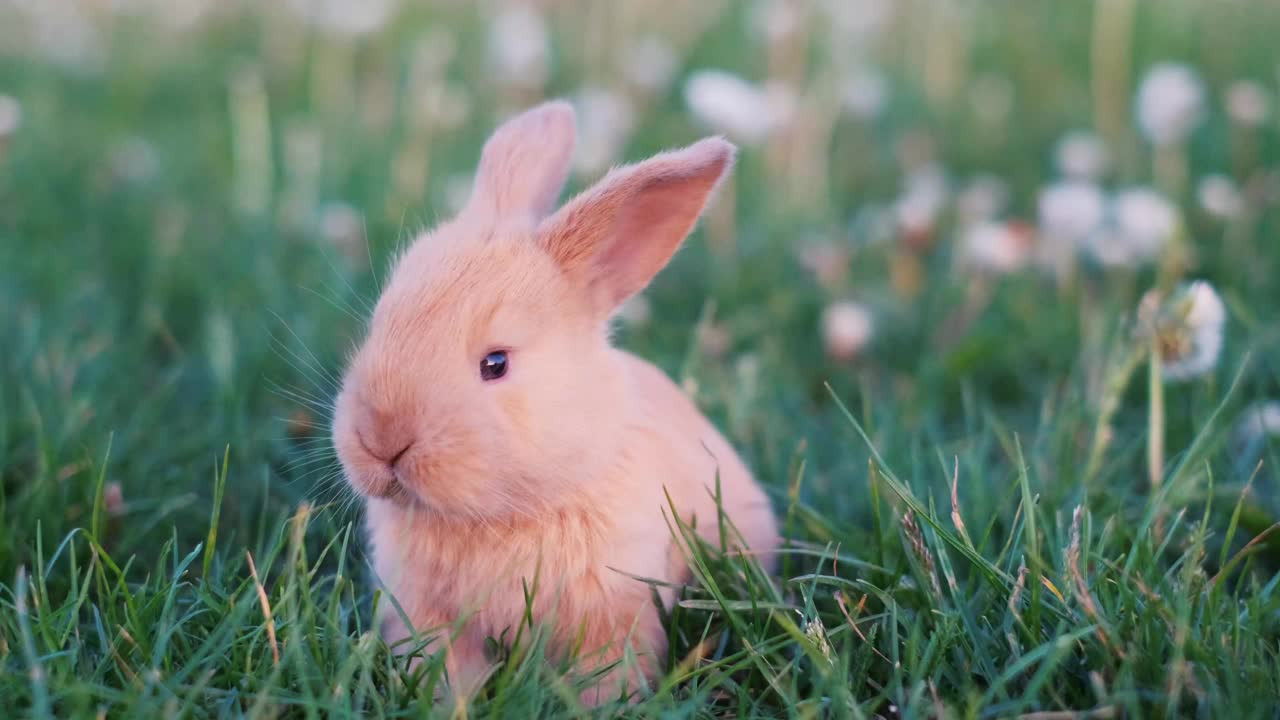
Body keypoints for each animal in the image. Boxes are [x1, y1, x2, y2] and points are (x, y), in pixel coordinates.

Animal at [330, 99, 778, 702]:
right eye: (378, 326)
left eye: (496, 363)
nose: (381, 442)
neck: (503, 512)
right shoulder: (425, 614)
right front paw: (452, 704)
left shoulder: (613, 608)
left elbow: (608, 669)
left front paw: (603, 706)